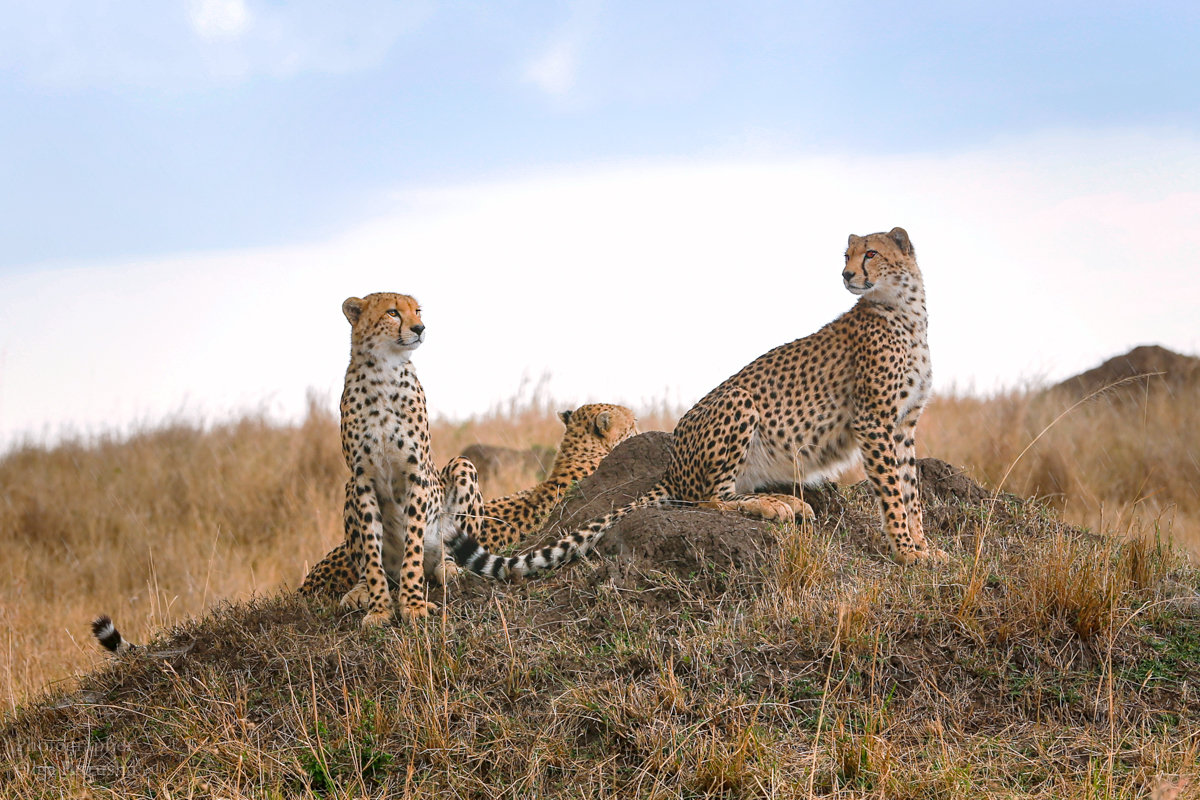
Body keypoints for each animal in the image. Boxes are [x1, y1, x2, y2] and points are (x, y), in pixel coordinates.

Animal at [468, 224, 945, 575]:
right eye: (846, 256)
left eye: (870, 254)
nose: (846, 276)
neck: (906, 310)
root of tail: (671, 464)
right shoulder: (874, 421)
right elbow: (893, 493)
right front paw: (906, 551)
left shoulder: (903, 425)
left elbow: (910, 491)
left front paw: (924, 547)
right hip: (740, 400)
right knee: (706, 499)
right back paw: (776, 505)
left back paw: (786, 502)